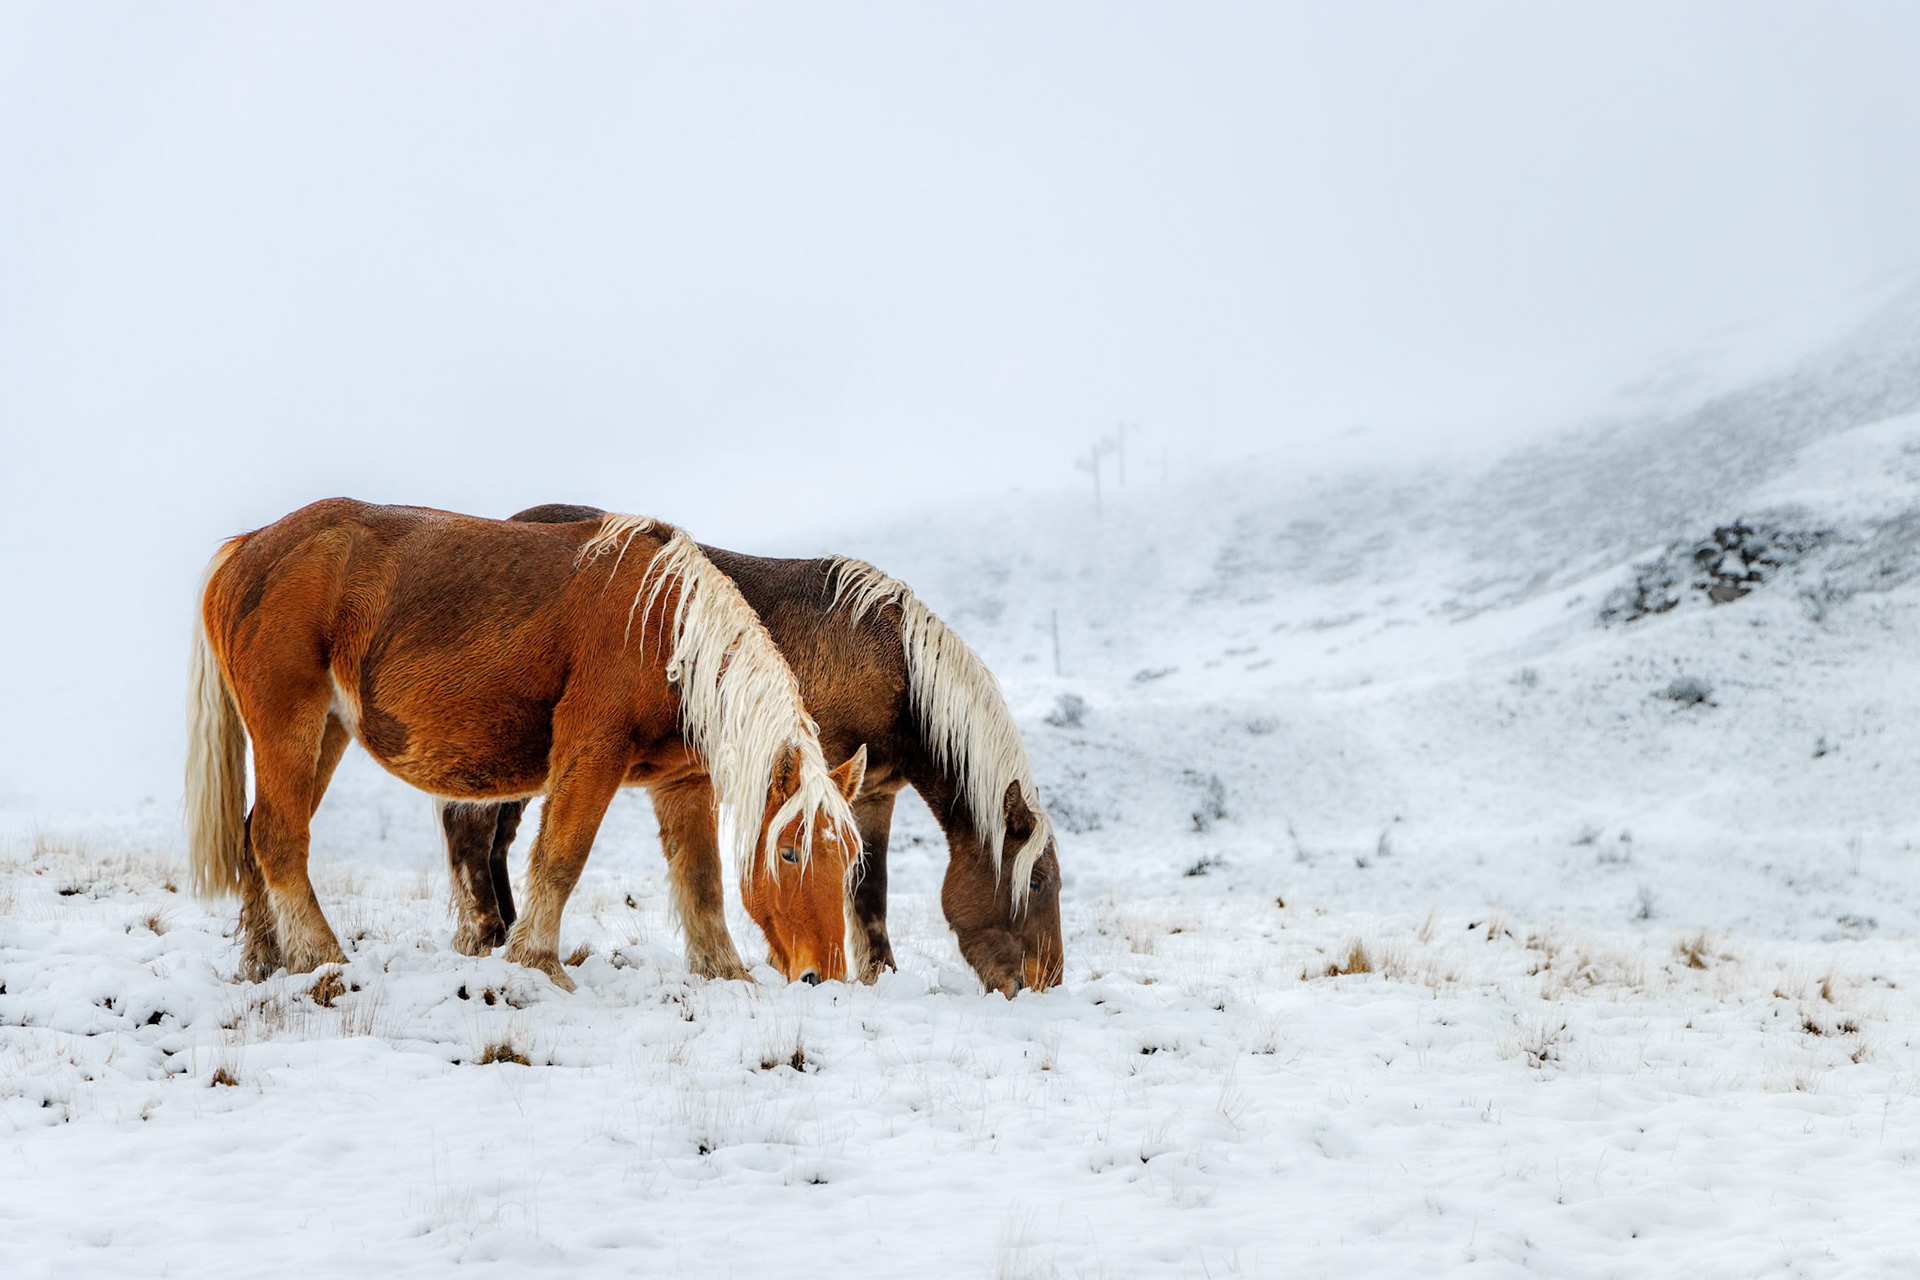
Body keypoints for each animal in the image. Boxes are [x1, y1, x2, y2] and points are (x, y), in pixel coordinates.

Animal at [185, 499, 867, 990]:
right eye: (789, 853)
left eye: (851, 857)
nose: (826, 977)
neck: (663, 629)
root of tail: (248, 547)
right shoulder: (591, 754)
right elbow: (561, 859)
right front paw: (536, 962)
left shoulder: (680, 783)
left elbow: (702, 880)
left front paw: (723, 973)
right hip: (289, 727)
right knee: (278, 839)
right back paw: (321, 960)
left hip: (326, 733)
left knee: (254, 836)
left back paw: (265, 963)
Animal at [439, 503, 1064, 996]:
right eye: (1035, 883)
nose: (1048, 982)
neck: (894, 668)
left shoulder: (869, 794)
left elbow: (869, 891)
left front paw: (876, 974)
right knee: (471, 829)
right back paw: (486, 940)